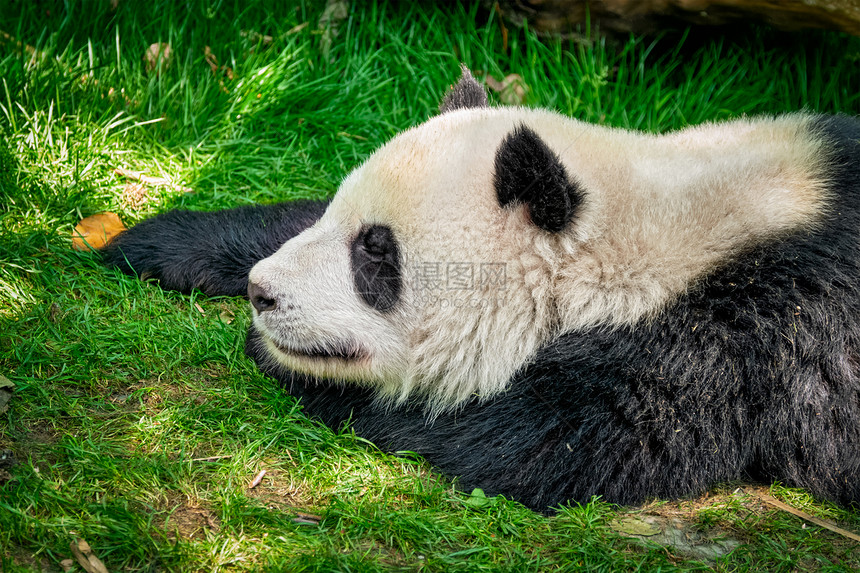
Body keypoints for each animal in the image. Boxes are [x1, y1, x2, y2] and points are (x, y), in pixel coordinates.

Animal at [102, 68, 860, 510]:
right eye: (343, 221)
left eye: (377, 253)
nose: (263, 293)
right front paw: (155, 241)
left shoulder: (737, 336)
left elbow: (533, 442)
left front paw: (305, 371)